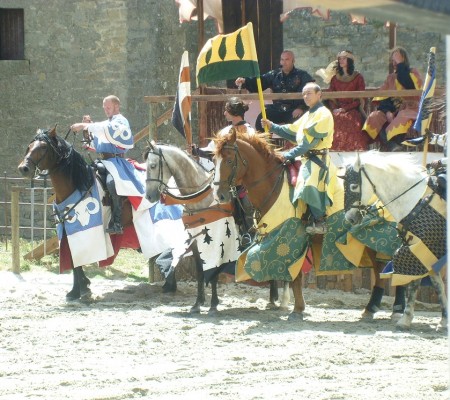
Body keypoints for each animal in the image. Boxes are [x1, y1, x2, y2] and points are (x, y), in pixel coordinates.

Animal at [146, 142, 290, 314]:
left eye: (153, 165)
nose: (149, 196)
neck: (201, 200)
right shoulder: (195, 241)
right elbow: (200, 271)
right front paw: (198, 303)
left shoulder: (217, 242)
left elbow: (213, 271)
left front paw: (213, 304)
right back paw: (273, 297)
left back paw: (278, 299)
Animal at [344, 152, 446, 330]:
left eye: (354, 186)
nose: (349, 218)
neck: (414, 200)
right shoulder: (426, 251)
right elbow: (437, 284)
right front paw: (444, 321)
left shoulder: (418, 250)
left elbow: (414, 283)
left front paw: (405, 319)